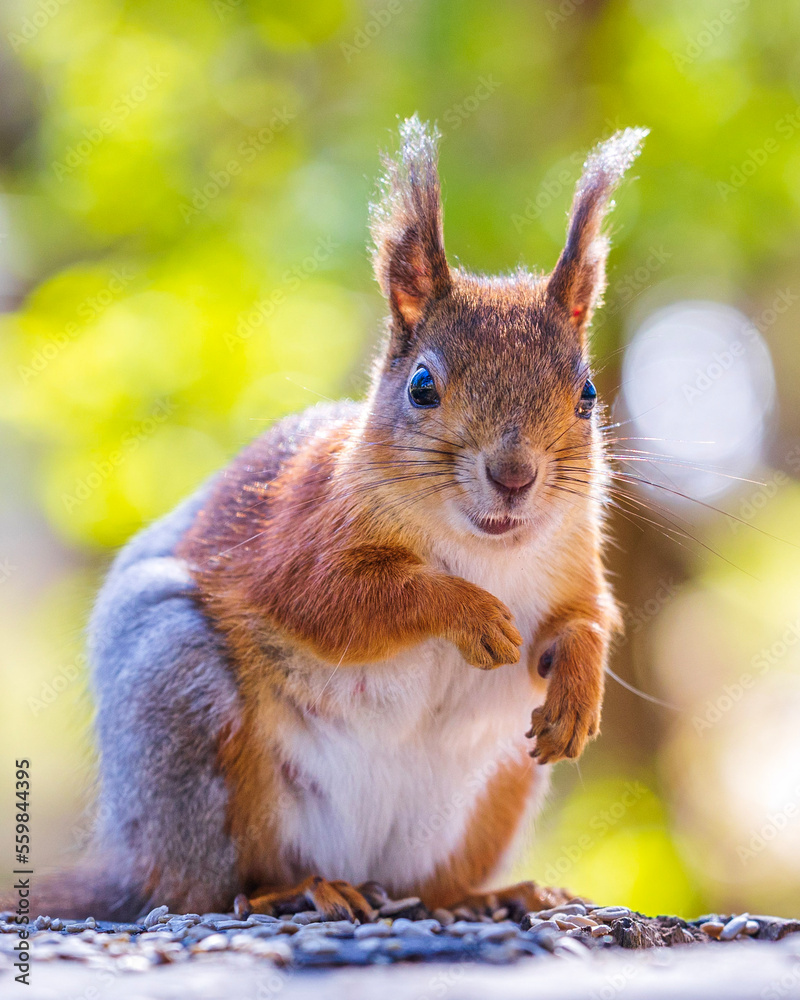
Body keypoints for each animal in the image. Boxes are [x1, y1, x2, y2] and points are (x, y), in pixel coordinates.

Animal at [16, 116, 646, 923]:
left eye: (587, 394)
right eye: (421, 386)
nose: (514, 477)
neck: (483, 549)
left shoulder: (572, 563)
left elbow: (586, 618)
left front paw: (578, 688)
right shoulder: (298, 534)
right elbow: (340, 602)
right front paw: (470, 613)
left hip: (494, 791)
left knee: (429, 886)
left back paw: (492, 893)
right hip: (180, 700)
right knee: (210, 887)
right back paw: (295, 890)